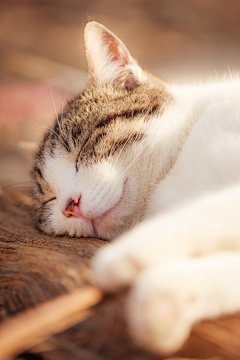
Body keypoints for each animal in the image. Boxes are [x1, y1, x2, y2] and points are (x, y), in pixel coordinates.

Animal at [31, 21, 240, 356]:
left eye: (81, 149)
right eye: (49, 199)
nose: (69, 205)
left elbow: (211, 213)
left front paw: (128, 255)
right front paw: (167, 299)